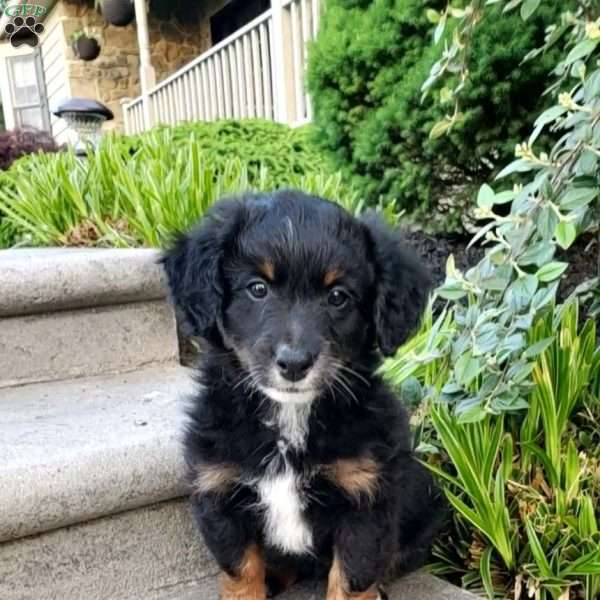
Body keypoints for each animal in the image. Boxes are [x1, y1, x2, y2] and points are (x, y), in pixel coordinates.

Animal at [162, 191, 442, 600]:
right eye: (257, 288)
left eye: (338, 297)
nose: (294, 364)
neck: (290, 418)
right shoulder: (220, 493)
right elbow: (241, 573)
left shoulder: (365, 502)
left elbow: (352, 581)